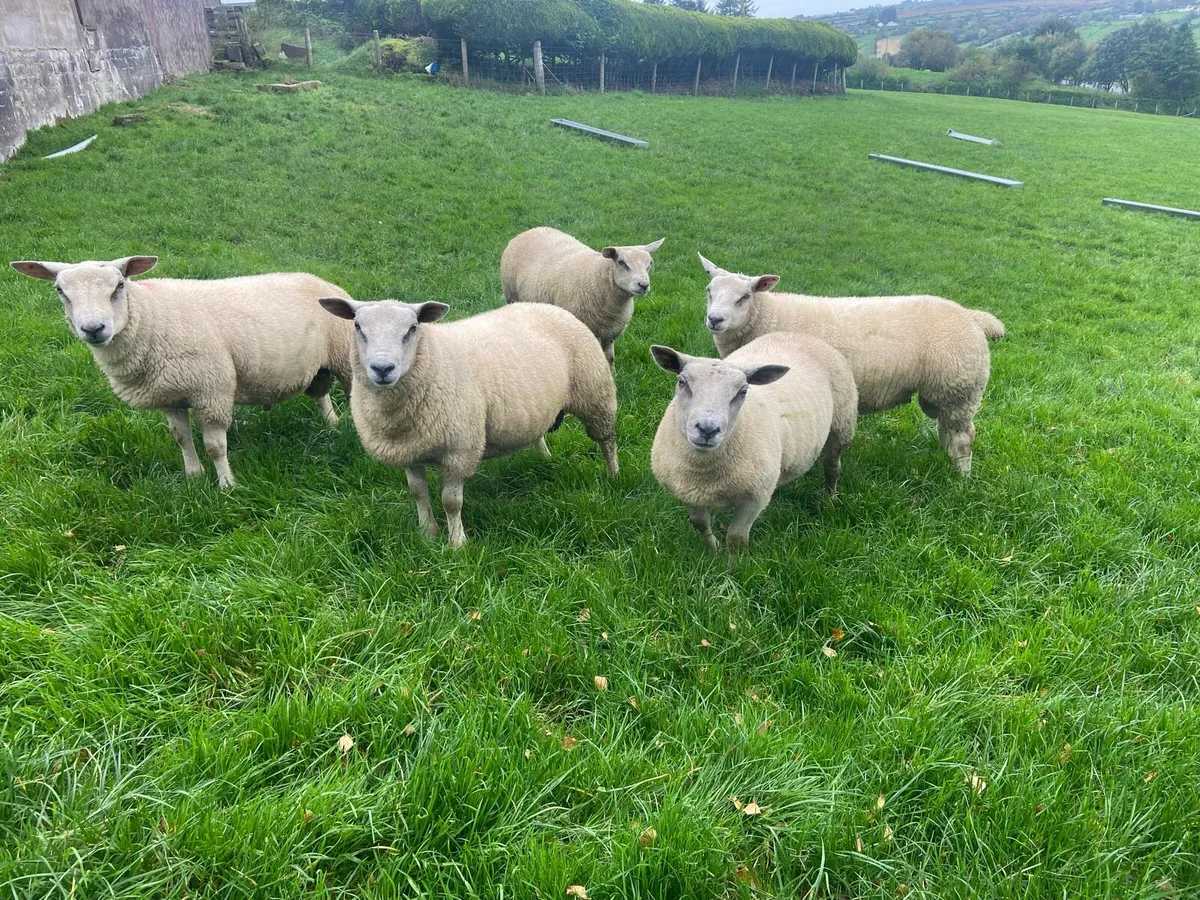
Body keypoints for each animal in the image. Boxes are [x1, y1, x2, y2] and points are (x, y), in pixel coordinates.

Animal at [10, 256, 355, 488]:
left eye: (119, 285)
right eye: (60, 290)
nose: (94, 329)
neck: (151, 316)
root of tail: (320, 280)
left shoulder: (211, 389)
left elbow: (215, 446)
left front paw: (227, 485)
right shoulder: (170, 394)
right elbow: (181, 438)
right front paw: (193, 476)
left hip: (345, 359)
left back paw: (350, 431)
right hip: (319, 366)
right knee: (321, 395)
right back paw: (331, 424)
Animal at [319, 297, 619, 549]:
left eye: (413, 328)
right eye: (357, 326)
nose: (382, 369)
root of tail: (547, 306)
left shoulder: (459, 450)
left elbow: (451, 502)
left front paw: (457, 543)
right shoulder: (409, 450)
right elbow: (418, 493)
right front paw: (428, 533)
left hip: (595, 394)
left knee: (607, 441)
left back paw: (613, 475)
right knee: (539, 432)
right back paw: (544, 456)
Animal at [500, 227, 665, 365]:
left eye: (650, 263)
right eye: (621, 262)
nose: (643, 285)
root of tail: (532, 230)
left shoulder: (610, 334)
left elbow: (609, 359)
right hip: (511, 295)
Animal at [649, 333, 857, 557]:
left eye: (743, 391)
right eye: (682, 381)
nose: (707, 429)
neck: (705, 474)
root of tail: (799, 335)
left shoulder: (755, 499)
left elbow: (736, 538)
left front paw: (735, 564)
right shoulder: (688, 492)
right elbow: (700, 524)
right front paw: (714, 550)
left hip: (842, 424)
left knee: (832, 467)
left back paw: (831, 498)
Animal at [698, 254, 1004, 476]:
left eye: (744, 297)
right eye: (709, 291)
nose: (715, 319)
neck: (770, 315)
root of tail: (974, 318)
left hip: (960, 389)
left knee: (963, 437)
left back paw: (961, 477)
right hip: (948, 393)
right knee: (947, 431)